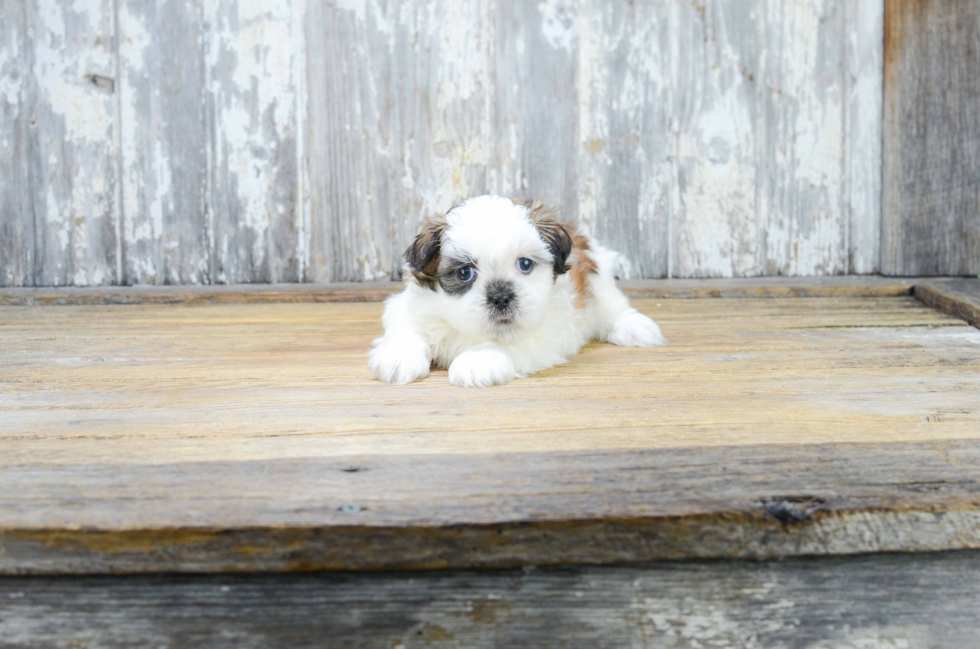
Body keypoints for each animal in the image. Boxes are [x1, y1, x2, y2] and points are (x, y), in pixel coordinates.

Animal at [370, 192, 668, 384]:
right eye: (465, 273)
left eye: (525, 264)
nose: (501, 297)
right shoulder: (406, 304)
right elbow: (405, 327)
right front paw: (399, 356)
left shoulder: (548, 330)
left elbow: (509, 343)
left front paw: (478, 360)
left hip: (597, 277)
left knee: (612, 305)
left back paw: (634, 326)